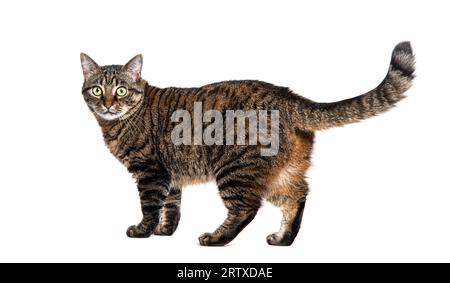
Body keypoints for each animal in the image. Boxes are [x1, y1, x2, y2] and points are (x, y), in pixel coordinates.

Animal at [80, 42, 414, 246]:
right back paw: (283, 238)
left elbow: (150, 205)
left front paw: (143, 231)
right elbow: (171, 206)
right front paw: (165, 231)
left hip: (235, 170)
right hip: (283, 173)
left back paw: (216, 238)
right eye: (97, 89)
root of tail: (288, 97)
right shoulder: (170, 174)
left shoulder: (150, 172)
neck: (118, 121)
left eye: (121, 90)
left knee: (246, 209)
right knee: (297, 197)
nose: (108, 104)